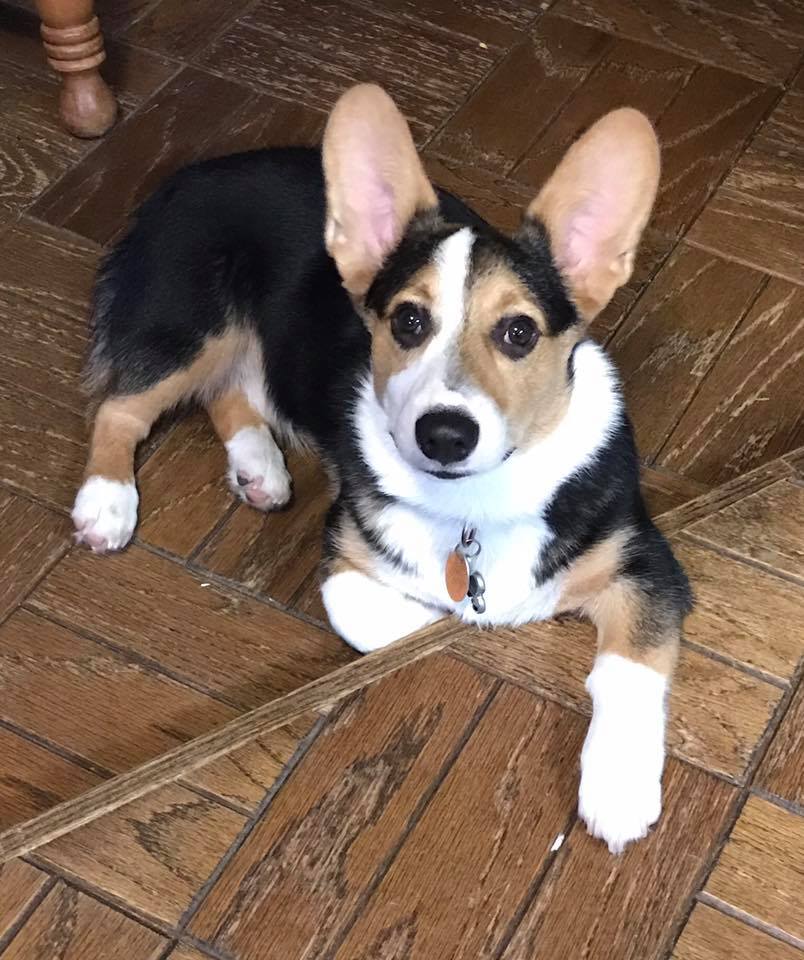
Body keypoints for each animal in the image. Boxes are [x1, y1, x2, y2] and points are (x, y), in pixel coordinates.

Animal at [70, 86, 692, 852]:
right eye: (407, 321)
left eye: (519, 332)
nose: (445, 435)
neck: (473, 503)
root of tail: (186, 175)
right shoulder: (344, 557)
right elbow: (401, 623)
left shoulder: (646, 566)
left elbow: (628, 670)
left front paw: (618, 788)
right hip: (190, 328)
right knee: (122, 408)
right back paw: (107, 501)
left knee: (231, 391)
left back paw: (258, 466)